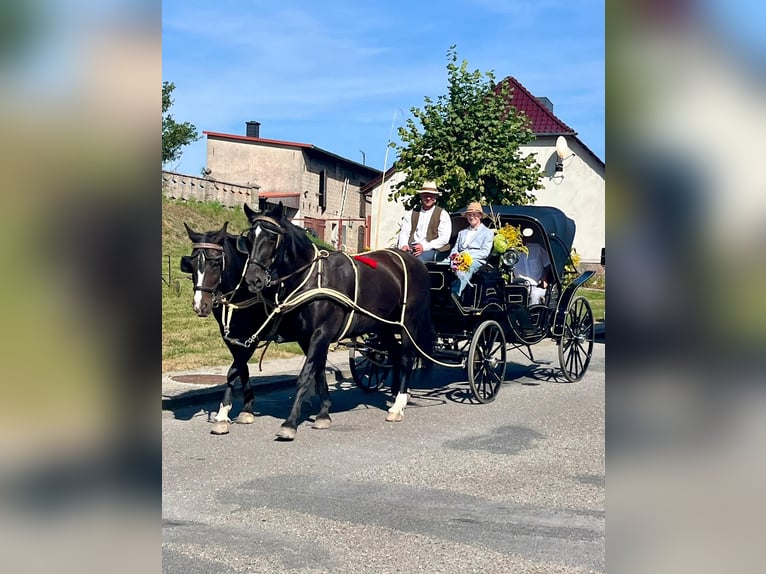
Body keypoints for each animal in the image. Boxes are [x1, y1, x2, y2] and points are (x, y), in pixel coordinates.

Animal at [182, 224, 274, 436]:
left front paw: (223, 413)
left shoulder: (254, 335)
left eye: (216, 263)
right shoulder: (232, 336)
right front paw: (247, 408)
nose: (200, 305)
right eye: (191, 264)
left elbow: (234, 368)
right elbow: (241, 368)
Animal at [242, 202, 432, 440]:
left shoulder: (321, 334)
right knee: (396, 353)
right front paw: (324, 413)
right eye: (249, 238)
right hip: (383, 325)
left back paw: (399, 404)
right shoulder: (307, 338)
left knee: (406, 357)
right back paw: (397, 393)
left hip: (408, 323)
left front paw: (290, 423)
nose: (253, 279)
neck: (314, 278)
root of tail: (416, 262)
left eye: (271, 237)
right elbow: (318, 372)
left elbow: (305, 375)